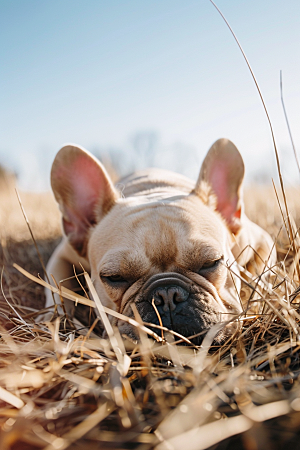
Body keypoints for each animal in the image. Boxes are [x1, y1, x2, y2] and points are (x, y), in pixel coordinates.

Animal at [45, 139, 276, 342]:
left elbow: (261, 274)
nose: (167, 295)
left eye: (210, 263)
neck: (153, 190)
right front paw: (52, 321)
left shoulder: (262, 241)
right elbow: (54, 290)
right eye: (114, 277)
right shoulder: (62, 255)